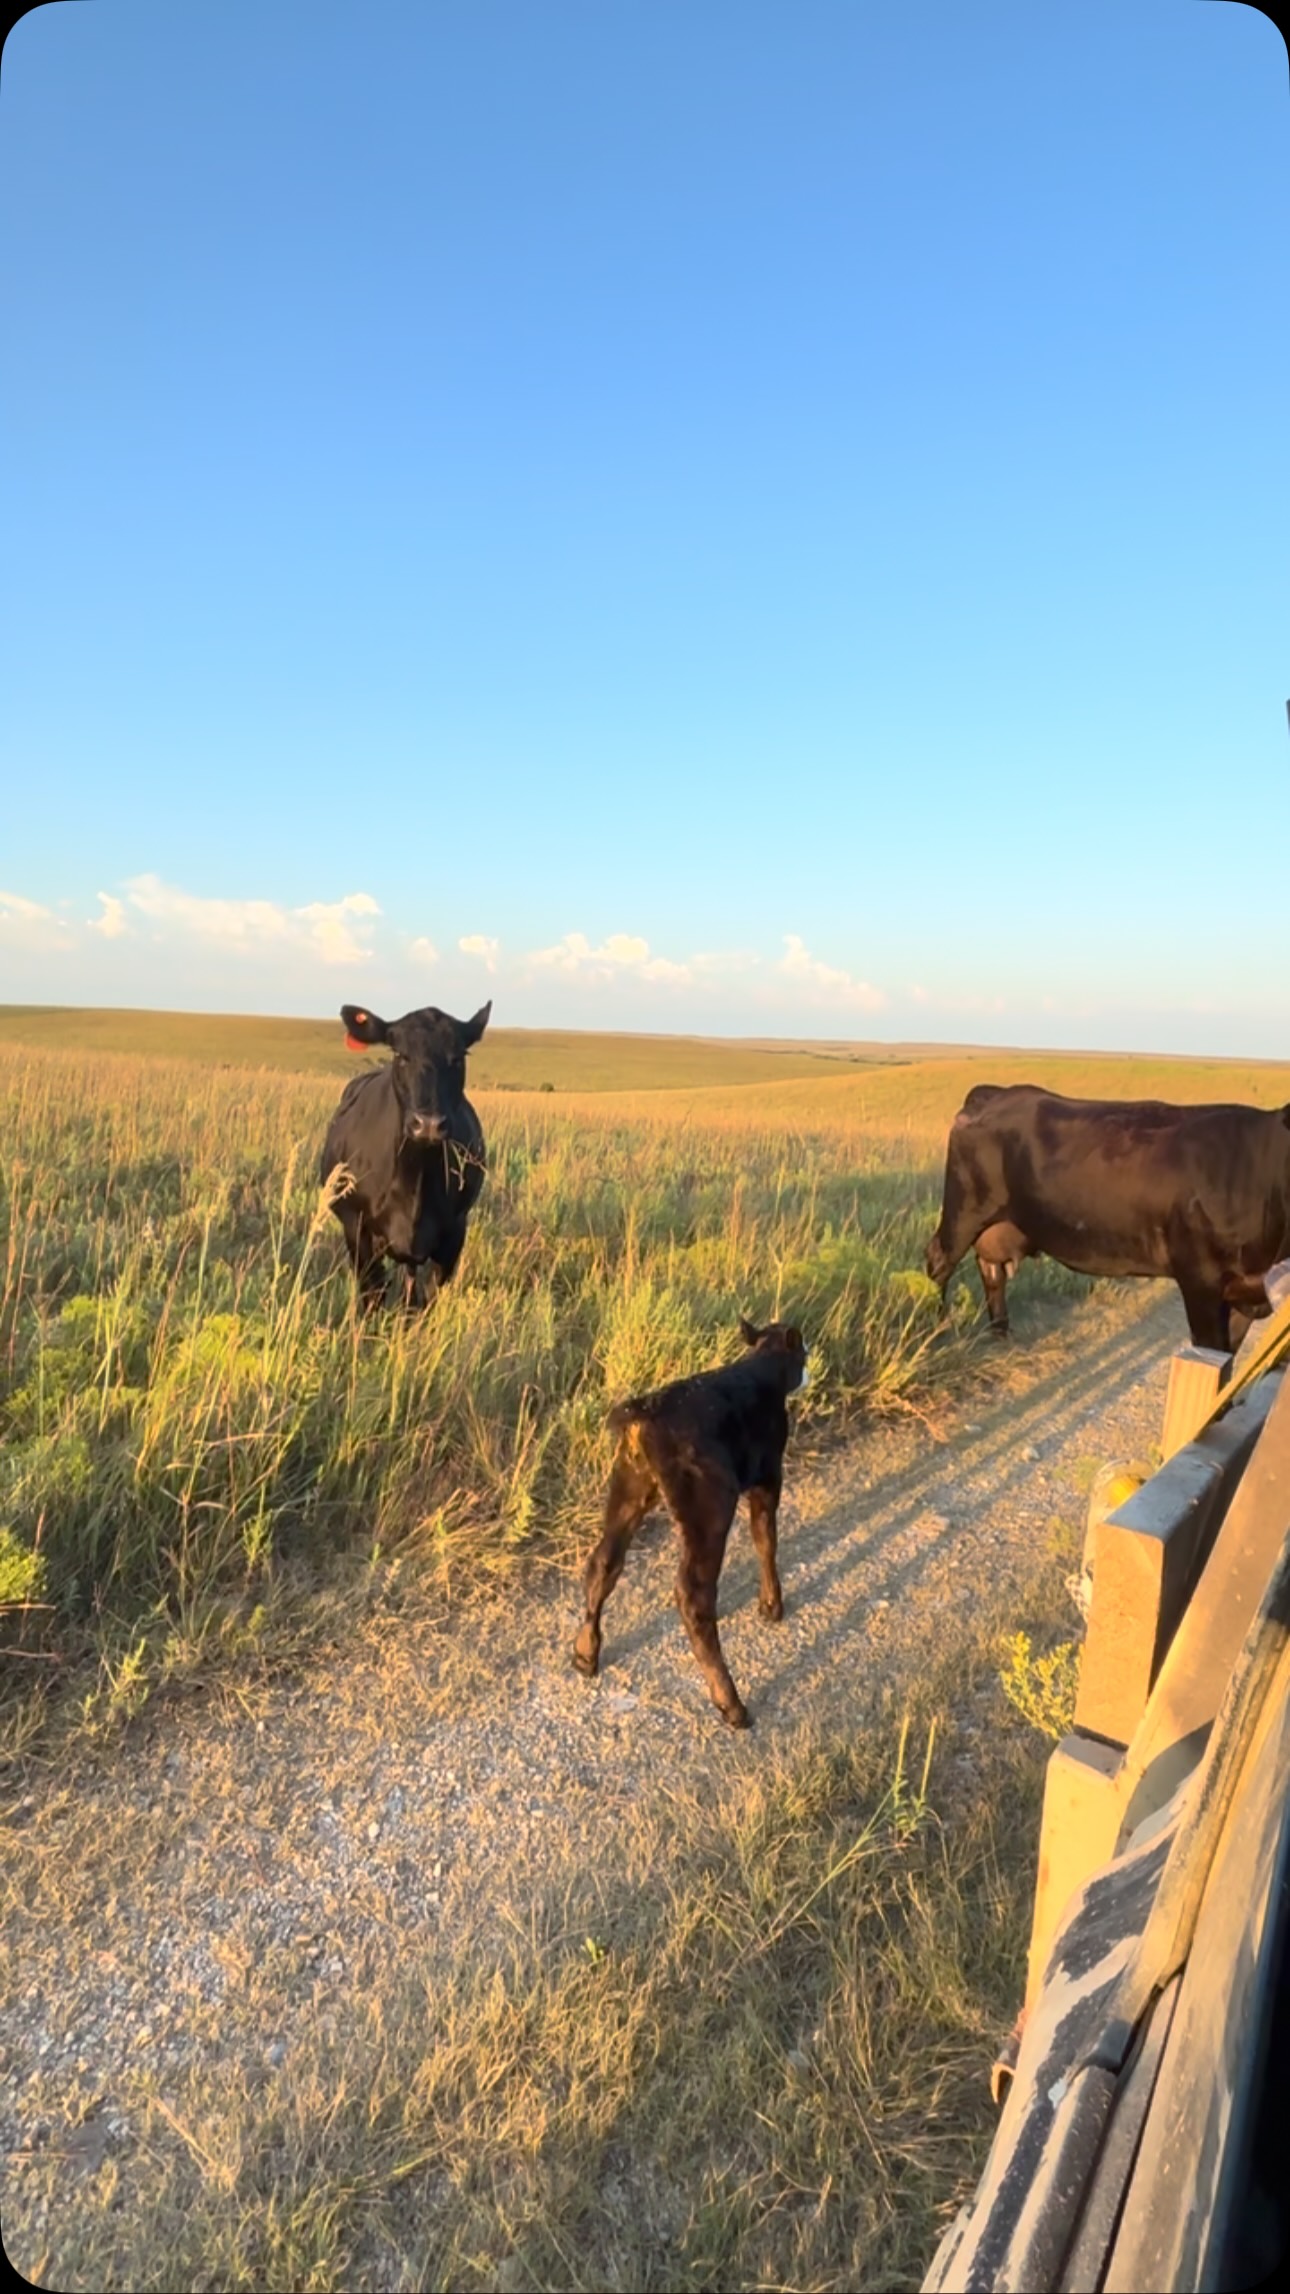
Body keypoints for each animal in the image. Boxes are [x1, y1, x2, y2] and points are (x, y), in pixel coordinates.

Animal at [321, 1000, 490, 1310]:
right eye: (400, 1054)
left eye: (459, 1057)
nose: (429, 1124)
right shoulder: (357, 1228)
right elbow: (372, 1296)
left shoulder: (454, 1231)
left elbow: (427, 1300)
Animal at [573, 1318, 809, 1729]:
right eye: (804, 1353)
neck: (763, 1367)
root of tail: (643, 1410)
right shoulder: (768, 1475)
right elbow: (766, 1538)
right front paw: (772, 1606)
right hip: (708, 1508)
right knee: (693, 1594)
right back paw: (732, 1705)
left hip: (630, 1488)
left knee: (604, 1563)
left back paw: (586, 1655)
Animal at [925, 1082, 1290, 1352]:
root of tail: (996, 1092)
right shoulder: (1200, 1280)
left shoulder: (1247, 1294)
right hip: (964, 1209)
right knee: (939, 1260)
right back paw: (934, 1332)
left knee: (991, 1270)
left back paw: (1001, 1334)